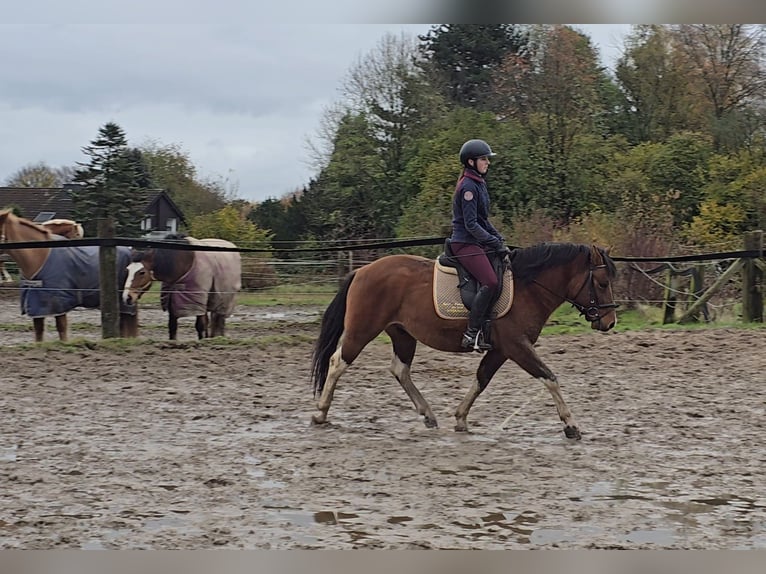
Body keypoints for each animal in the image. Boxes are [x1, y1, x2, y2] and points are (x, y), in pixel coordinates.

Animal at [0, 210, 140, 342]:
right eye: (77, 235)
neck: (40, 255)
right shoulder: (37, 307)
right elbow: (39, 333)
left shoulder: (59, 305)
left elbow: (62, 330)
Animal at [308, 243, 620, 440]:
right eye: (602, 283)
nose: (609, 322)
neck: (528, 288)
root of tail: (362, 271)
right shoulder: (517, 346)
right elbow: (549, 377)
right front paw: (571, 425)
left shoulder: (501, 350)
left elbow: (482, 379)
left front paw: (460, 417)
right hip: (363, 330)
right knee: (338, 362)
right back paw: (320, 414)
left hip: (402, 334)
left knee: (400, 370)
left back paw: (428, 415)